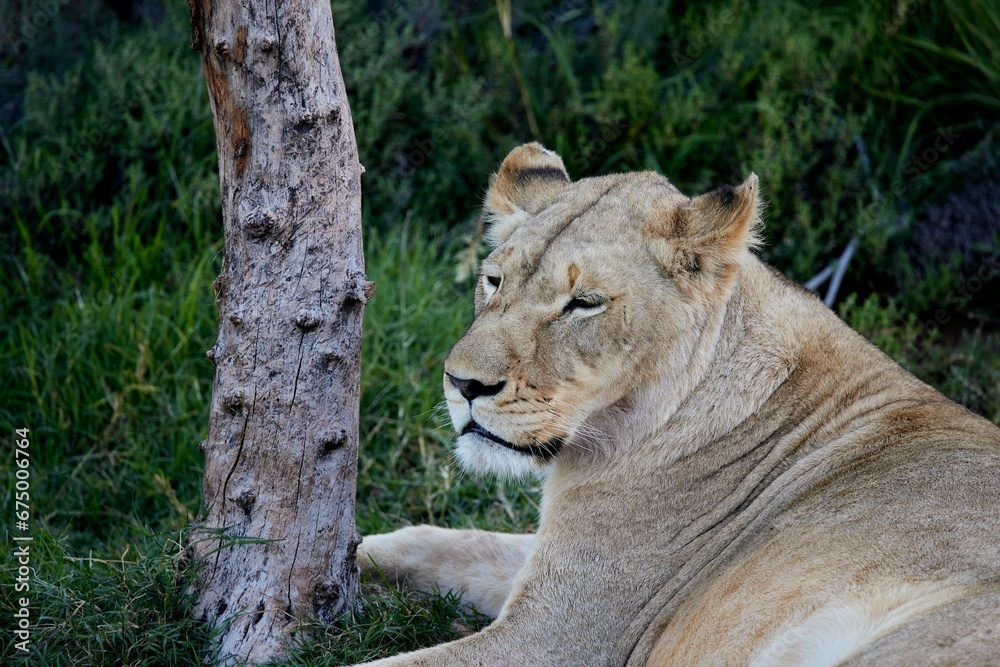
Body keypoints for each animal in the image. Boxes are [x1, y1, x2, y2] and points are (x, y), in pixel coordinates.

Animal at [353, 143, 1000, 666]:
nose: (462, 384)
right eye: (494, 281)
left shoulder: (560, 638)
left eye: (584, 303)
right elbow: (442, 541)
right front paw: (348, 556)